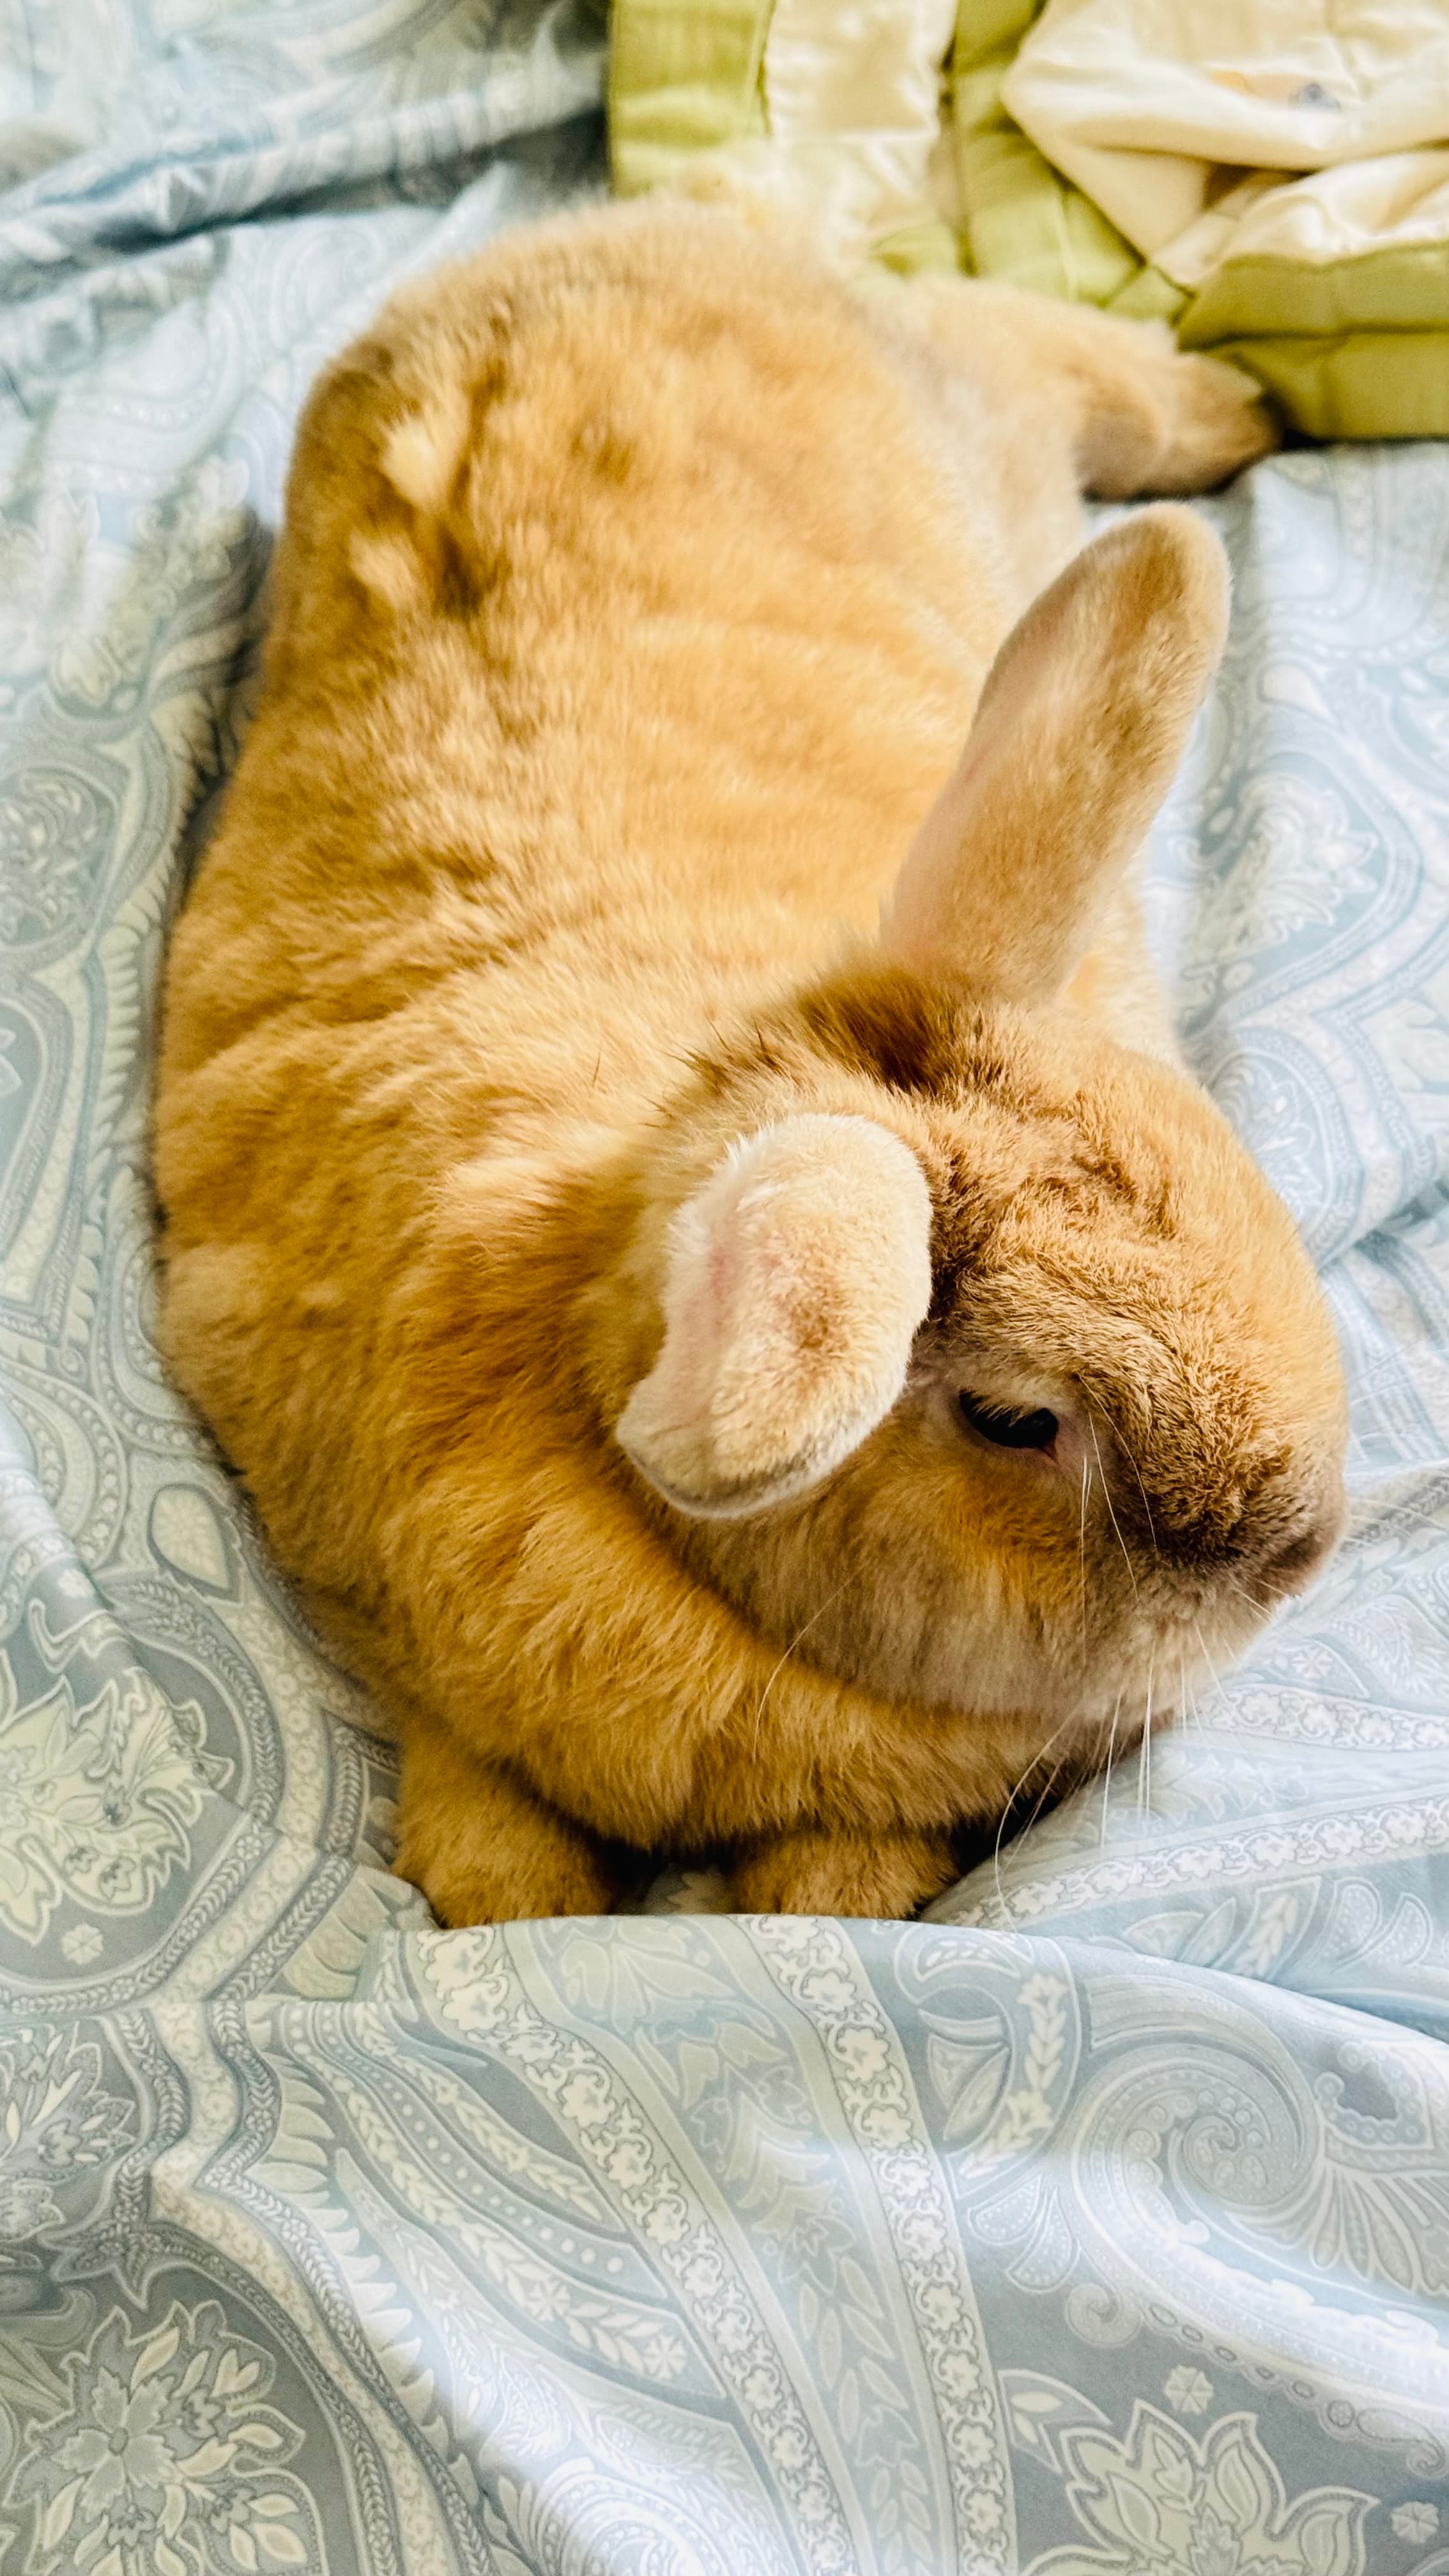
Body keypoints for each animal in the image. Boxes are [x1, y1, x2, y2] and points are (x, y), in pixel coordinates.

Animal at [154, 198, 1348, 1925]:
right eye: (1015, 1422)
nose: (1301, 1554)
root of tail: (596, 232)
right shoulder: (382, 1635)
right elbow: (478, 1810)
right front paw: (507, 1905)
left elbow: (834, 1889)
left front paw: (804, 1902)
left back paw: (1239, 415)